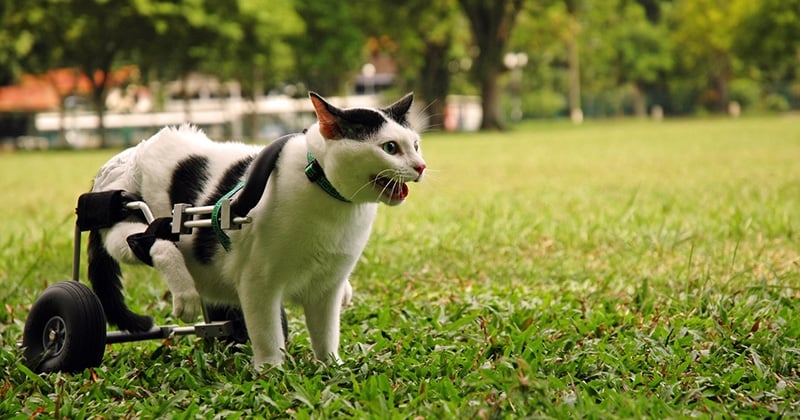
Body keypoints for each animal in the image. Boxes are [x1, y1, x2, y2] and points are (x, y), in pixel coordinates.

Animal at [86, 92, 424, 368]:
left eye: (415, 145)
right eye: (390, 147)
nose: (420, 166)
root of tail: (128, 154)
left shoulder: (327, 287)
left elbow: (326, 335)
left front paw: (332, 367)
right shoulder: (258, 283)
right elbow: (267, 334)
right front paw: (270, 372)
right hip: (128, 215)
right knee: (144, 240)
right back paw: (185, 295)